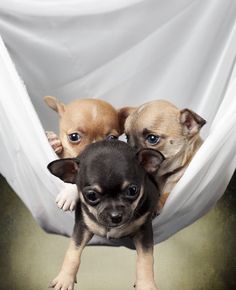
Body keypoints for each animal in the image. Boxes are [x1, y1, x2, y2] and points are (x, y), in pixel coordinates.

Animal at [48, 140, 164, 290]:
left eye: (133, 190)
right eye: (91, 195)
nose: (115, 216)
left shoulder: (144, 230)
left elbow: (146, 259)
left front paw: (146, 285)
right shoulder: (82, 227)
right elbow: (72, 253)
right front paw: (65, 278)